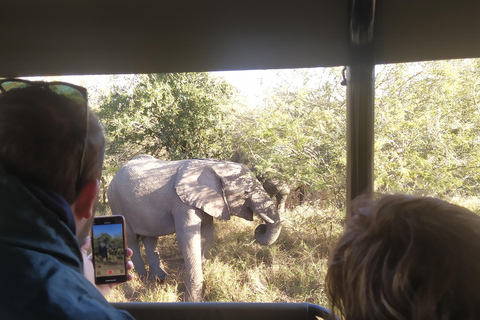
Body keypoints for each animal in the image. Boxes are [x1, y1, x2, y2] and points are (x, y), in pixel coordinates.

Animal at [108, 156, 282, 302]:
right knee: (131, 238)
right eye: (246, 192)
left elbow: (207, 234)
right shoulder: (182, 203)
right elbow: (188, 240)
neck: (213, 166)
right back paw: (142, 279)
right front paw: (194, 299)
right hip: (116, 201)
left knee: (150, 238)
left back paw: (159, 279)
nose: (260, 228)